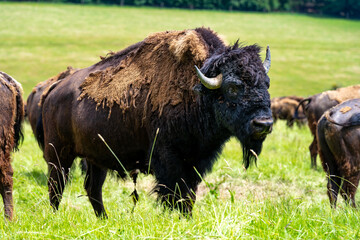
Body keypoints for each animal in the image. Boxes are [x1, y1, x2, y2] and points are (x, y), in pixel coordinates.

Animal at [37, 28, 272, 218]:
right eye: (232, 87)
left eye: (266, 83)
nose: (264, 123)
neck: (198, 93)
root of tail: (54, 89)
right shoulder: (169, 159)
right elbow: (172, 193)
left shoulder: (197, 161)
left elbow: (188, 195)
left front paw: (187, 218)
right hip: (59, 154)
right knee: (56, 186)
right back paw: (56, 216)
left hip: (96, 159)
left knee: (93, 188)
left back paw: (104, 219)